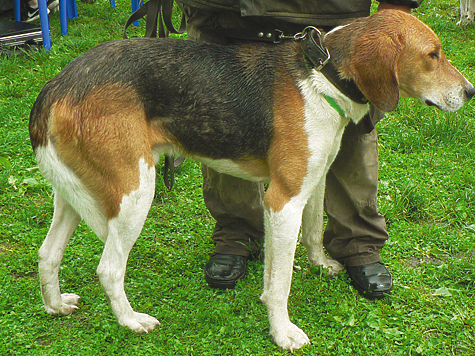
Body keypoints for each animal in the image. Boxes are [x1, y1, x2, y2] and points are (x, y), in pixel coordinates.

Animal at [29, 10, 475, 350]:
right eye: (432, 55)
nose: (470, 92)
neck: (322, 76)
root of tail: (57, 84)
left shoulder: (310, 185)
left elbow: (312, 234)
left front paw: (321, 265)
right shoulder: (283, 201)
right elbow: (279, 284)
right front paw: (283, 333)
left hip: (77, 193)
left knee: (47, 253)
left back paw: (55, 305)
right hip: (134, 192)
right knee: (109, 268)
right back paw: (131, 320)